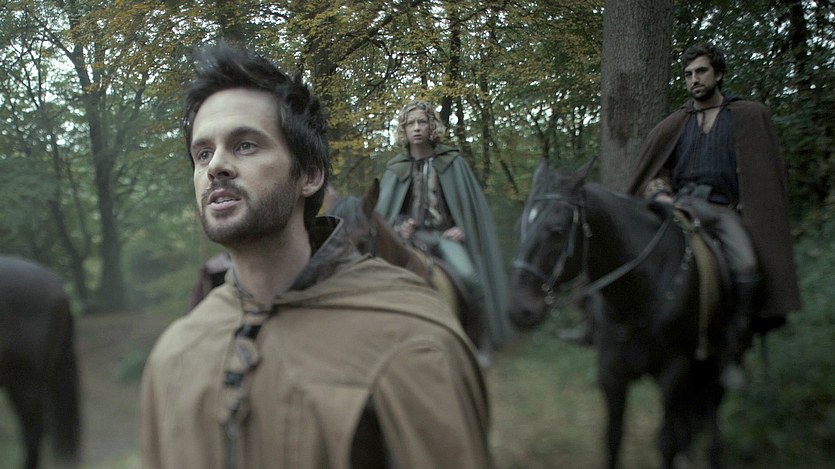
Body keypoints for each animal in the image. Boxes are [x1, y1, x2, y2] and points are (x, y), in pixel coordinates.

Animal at [508, 159, 735, 469]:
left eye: (557, 229)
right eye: (523, 224)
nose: (519, 310)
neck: (638, 293)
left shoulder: (674, 373)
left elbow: (666, 444)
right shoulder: (611, 374)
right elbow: (613, 440)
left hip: (715, 364)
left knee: (711, 419)